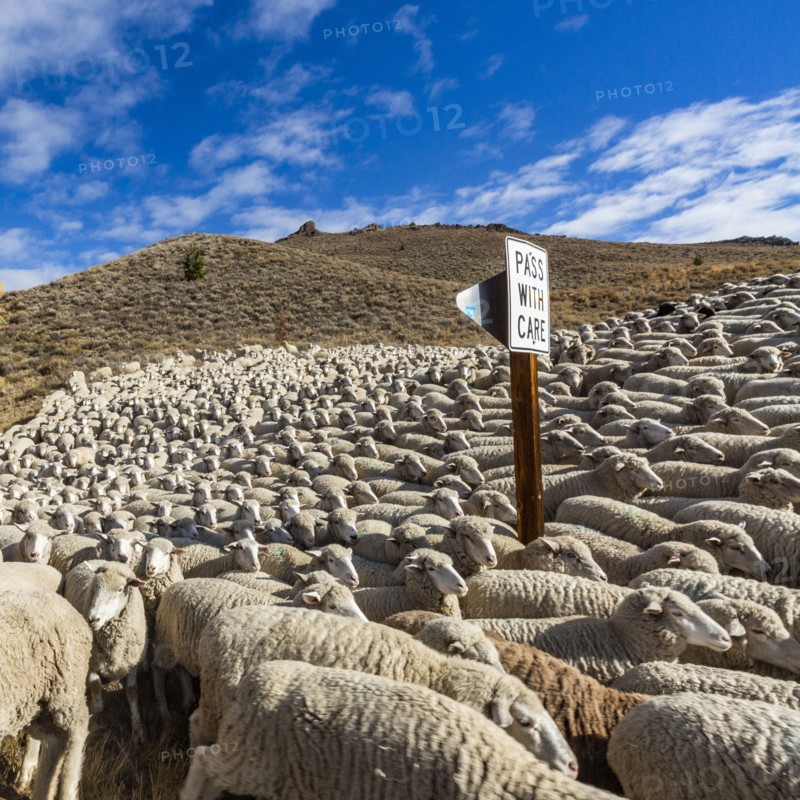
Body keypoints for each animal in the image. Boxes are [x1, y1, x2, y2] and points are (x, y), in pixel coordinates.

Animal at [63, 560, 147, 742]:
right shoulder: (91, 661)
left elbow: (133, 692)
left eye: (120, 589)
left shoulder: (132, 661)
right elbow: (95, 688)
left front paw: (138, 730)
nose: (93, 619)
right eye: (95, 587)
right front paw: (92, 721)